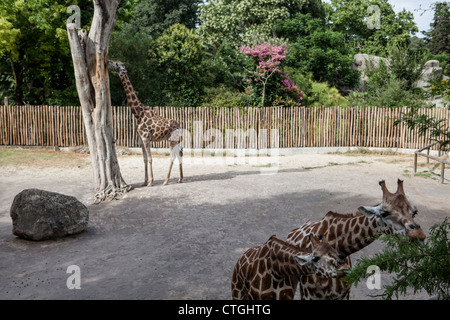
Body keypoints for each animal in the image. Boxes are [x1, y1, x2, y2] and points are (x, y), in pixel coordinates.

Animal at [108, 59, 184, 188]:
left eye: (117, 64)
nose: (108, 61)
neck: (138, 113)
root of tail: (180, 127)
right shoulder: (140, 138)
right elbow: (144, 159)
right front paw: (144, 181)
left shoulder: (146, 137)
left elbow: (150, 158)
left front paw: (151, 182)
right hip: (175, 140)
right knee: (179, 154)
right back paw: (180, 179)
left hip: (172, 140)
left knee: (173, 156)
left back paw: (166, 180)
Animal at [288, 179, 426, 298]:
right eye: (384, 213)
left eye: (415, 212)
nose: (419, 236)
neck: (337, 245)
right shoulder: (310, 295)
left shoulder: (344, 295)